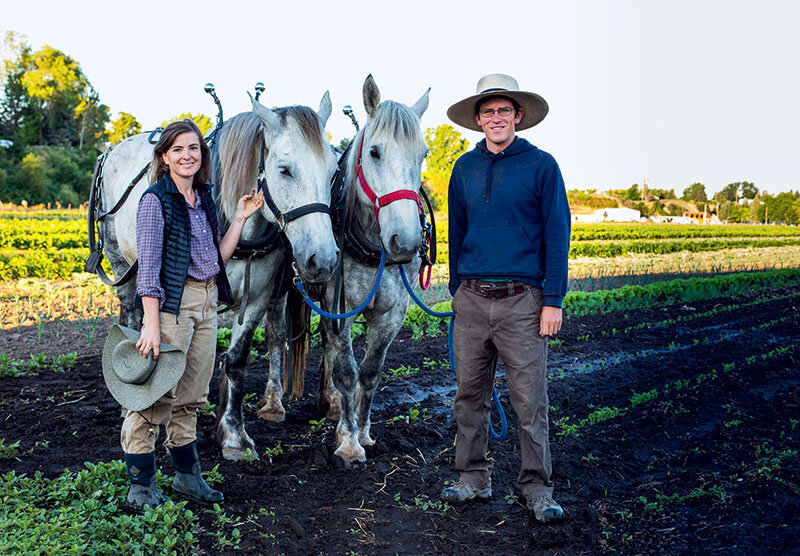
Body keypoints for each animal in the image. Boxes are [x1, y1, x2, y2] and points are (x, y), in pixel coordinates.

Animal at [318, 75, 432, 464]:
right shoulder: (338, 307)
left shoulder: (392, 313)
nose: (407, 241)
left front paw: (363, 432)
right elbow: (346, 372)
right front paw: (349, 444)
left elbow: (369, 373)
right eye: (375, 152)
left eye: (423, 154)